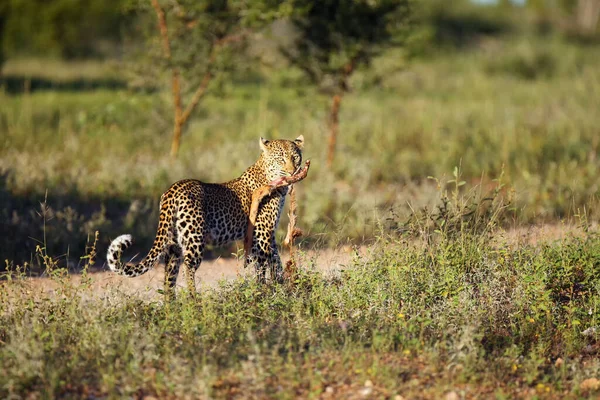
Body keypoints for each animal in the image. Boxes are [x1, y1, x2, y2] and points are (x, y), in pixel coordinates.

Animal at [106, 136, 304, 296]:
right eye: (281, 158)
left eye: (295, 157)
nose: (293, 171)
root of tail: (173, 189)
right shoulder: (262, 234)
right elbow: (263, 266)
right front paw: (264, 293)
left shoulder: (269, 235)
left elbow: (276, 261)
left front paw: (281, 285)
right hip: (194, 238)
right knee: (188, 268)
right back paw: (194, 302)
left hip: (173, 243)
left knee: (169, 275)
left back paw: (172, 308)